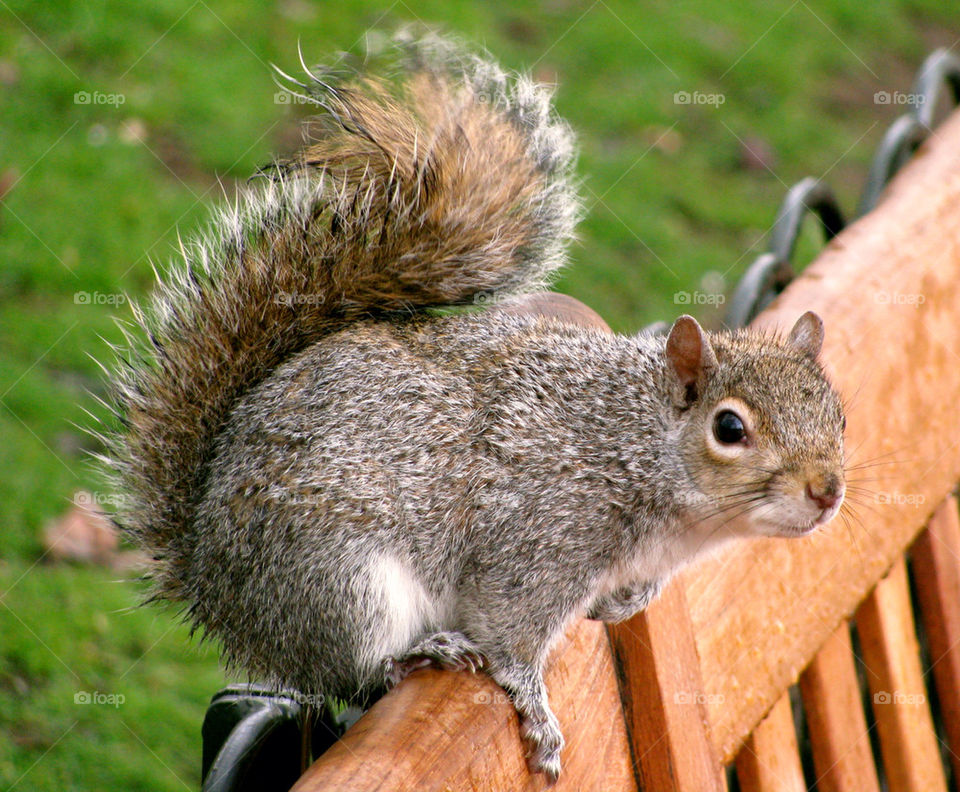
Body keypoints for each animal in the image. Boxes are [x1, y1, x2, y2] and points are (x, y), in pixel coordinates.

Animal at [99, 29, 848, 780]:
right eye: (730, 428)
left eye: (839, 417)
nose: (827, 492)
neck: (637, 447)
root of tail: (211, 576)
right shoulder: (541, 537)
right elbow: (510, 634)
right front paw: (538, 712)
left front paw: (629, 600)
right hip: (340, 579)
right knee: (348, 668)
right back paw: (418, 653)